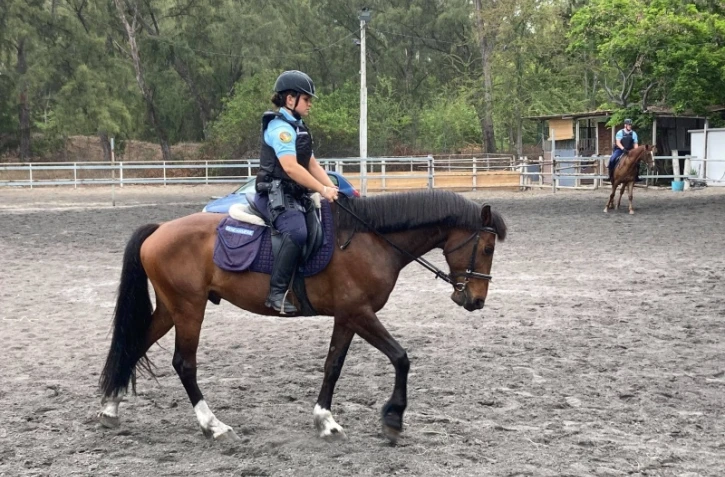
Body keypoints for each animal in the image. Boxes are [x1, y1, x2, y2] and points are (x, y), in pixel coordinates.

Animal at [98, 190, 507, 443]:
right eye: (487, 248)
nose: (477, 300)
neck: (370, 240)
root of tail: (159, 230)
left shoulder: (347, 317)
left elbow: (333, 366)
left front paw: (325, 420)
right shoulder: (360, 313)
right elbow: (401, 357)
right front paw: (393, 420)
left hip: (172, 309)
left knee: (134, 345)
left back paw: (110, 407)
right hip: (188, 310)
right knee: (184, 364)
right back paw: (212, 425)